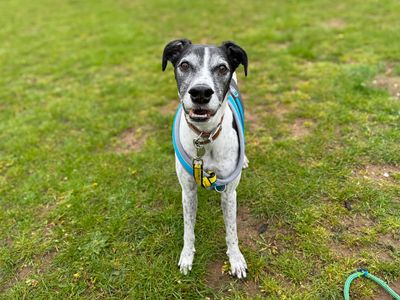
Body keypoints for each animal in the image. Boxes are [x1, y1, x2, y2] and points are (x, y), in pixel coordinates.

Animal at [161, 39, 248, 278]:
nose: (200, 92)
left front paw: (236, 259)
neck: (205, 137)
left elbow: (232, 230)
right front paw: (187, 255)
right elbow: (188, 229)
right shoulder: (188, 191)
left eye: (222, 68)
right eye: (184, 65)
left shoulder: (229, 193)